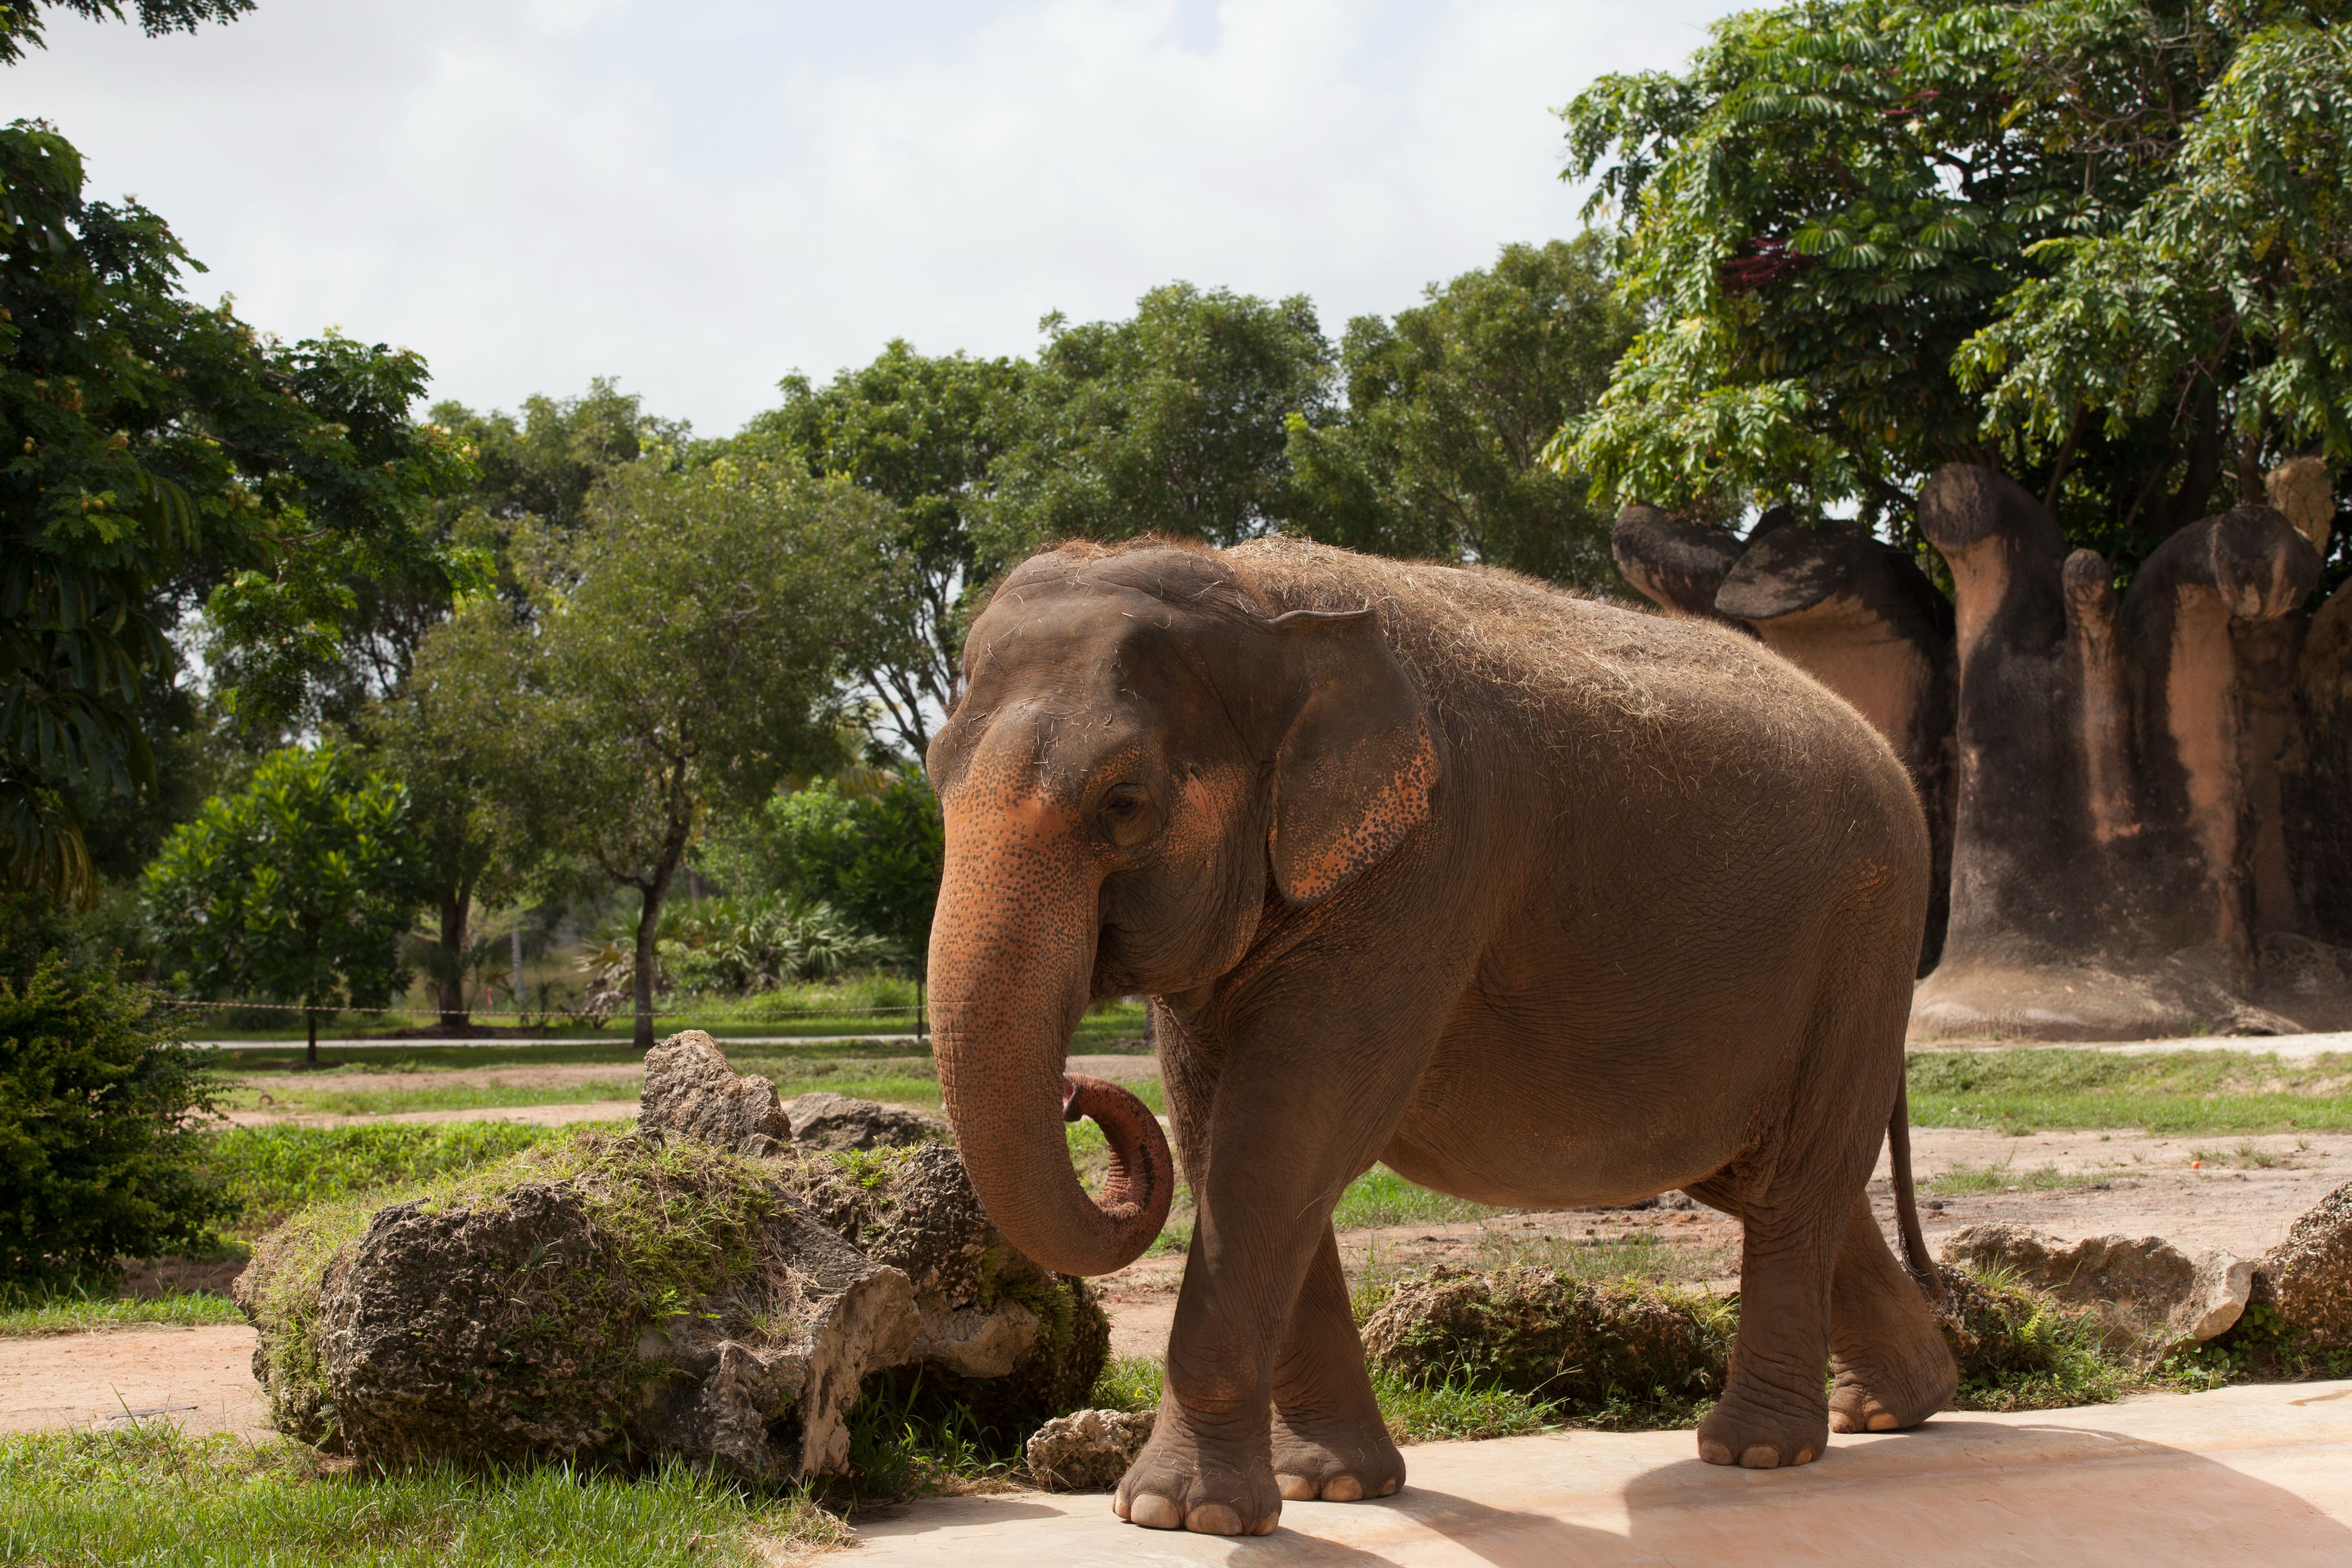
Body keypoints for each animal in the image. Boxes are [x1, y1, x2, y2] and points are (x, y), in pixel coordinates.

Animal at [924, 535, 1955, 1537]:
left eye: (1123, 802)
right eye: (933, 774)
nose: (1078, 1093)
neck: (1261, 596)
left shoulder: (1427, 866)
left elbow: (1283, 1138)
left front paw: (1177, 1515)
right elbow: (1227, 1133)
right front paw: (1330, 1487)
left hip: (1866, 942)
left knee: (1794, 1182)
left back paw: (1756, 1451)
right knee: (1769, 1179)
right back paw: (1891, 1407)